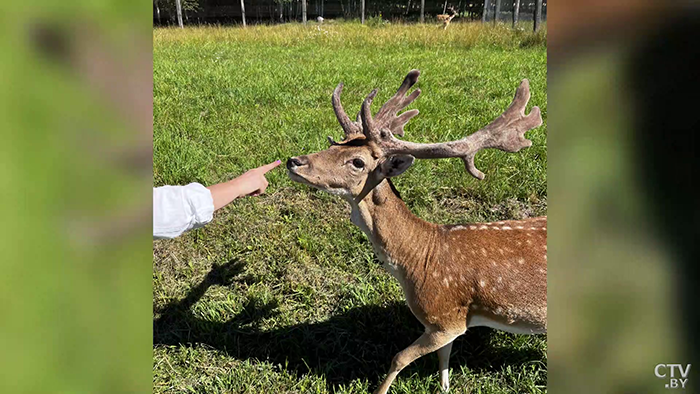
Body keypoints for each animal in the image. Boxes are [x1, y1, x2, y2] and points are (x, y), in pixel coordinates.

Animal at [286, 71, 548, 394]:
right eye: (336, 145)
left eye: (358, 162)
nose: (294, 161)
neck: (417, 260)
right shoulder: (441, 325)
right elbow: (444, 355)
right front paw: (444, 386)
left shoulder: (446, 317)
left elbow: (399, 357)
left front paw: (379, 391)